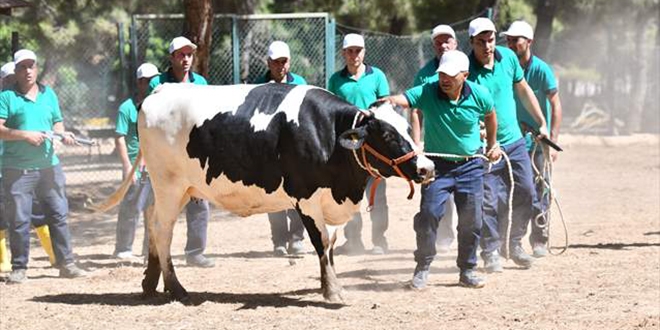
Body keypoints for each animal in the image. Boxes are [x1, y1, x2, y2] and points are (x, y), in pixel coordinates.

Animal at [96, 83, 434, 304]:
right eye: (386, 134)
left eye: (407, 128)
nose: (427, 167)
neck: (328, 132)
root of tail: (160, 91)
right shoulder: (307, 199)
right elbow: (322, 243)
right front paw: (333, 291)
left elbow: (332, 244)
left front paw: (328, 284)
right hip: (169, 183)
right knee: (161, 229)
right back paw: (176, 288)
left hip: (173, 188)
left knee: (152, 219)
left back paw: (151, 283)